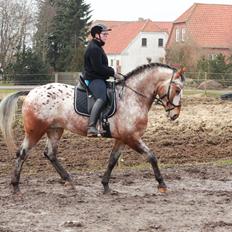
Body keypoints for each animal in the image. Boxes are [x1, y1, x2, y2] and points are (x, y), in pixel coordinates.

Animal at [0, 63, 185, 194]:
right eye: (177, 89)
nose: (175, 115)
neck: (132, 97)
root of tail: (31, 92)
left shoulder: (122, 139)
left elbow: (112, 160)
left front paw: (105, 185)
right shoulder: (132, 137)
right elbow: (151, 156)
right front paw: (162, 184)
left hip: (55, 130)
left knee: (50, 154)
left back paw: (69, 181)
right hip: (35, 131)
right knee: (23, 153)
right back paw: (16, 186)